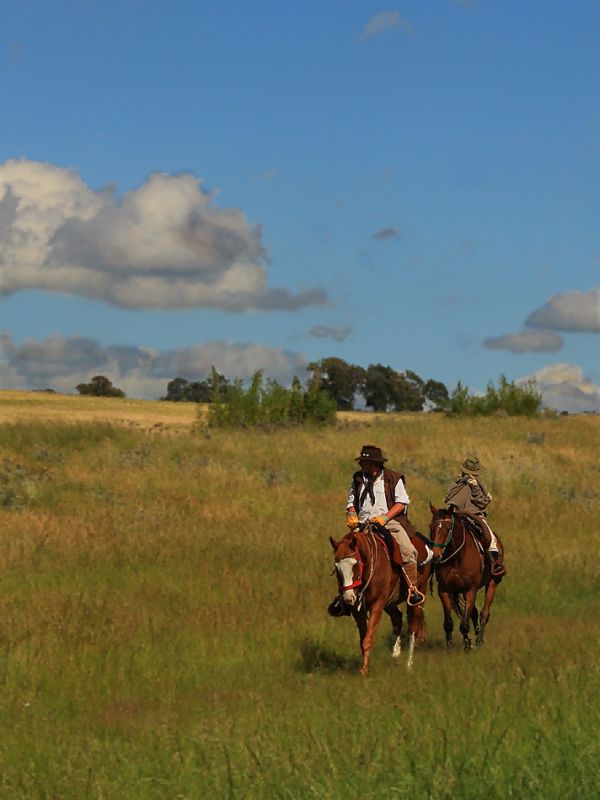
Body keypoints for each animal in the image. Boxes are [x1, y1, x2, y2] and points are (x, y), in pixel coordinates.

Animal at [328, 520, 432, 680]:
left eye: (355, 564)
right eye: (337, 567)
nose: (348, 598)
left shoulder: (377, 605)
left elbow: (368, 639)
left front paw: (364, 671)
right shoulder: (358, 609)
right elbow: (363, 640)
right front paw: (366, 667)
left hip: (417, 595)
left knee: (413, 628)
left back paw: (409, 665)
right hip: (389, 603)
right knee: (397, 618)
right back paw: (396, 653)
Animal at [426, 506, 506, 648]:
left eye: (448, 527)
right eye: (431, 526)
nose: (436, 556)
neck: (457, 558)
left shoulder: (470, 589)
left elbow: (464, 623)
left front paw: (467, 646)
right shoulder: (444, 590)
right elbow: (449, 622)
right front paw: (451, 645)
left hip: (492, 583)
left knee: (484, 612)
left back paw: (479, 641)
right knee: (473, 612)